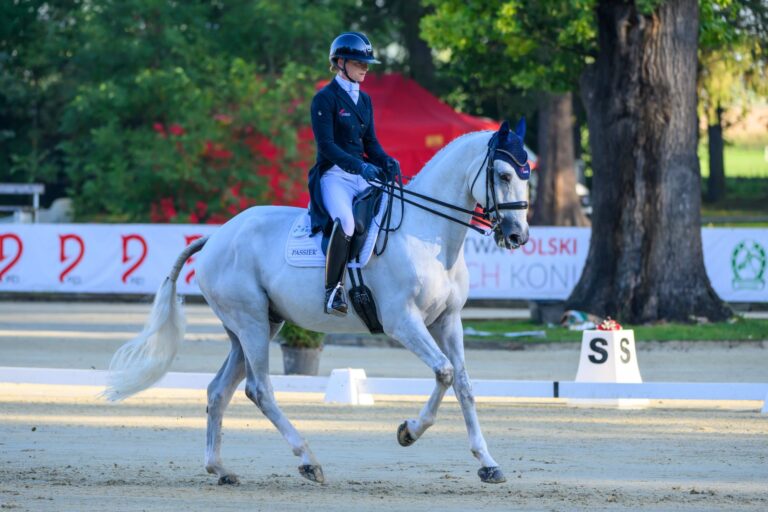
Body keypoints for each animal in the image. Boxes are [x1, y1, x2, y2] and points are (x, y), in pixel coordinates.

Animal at [105, 119, 532, 484]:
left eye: (527, 176)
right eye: (504, 175)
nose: (517, 236)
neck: (428, 236)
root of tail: (217, 236)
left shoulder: (448, 320)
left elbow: (463, 383)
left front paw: (488, 463)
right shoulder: (403, 322)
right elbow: (443, 372)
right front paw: (408, 432)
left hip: (254, 326)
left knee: (218, 390)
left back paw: (220, 468)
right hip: (251, 323)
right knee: (259, 389)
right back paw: (308, 460)